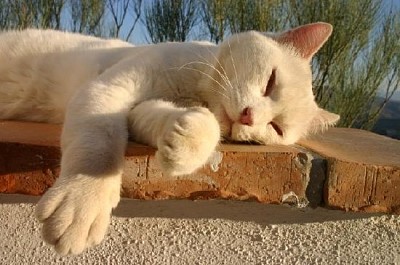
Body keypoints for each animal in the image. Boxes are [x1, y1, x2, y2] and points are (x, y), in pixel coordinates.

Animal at [0, 22, 340, 254]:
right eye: (270, 81)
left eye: (276, 128)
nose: (249, 117)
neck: (196, 90)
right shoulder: (109, 89)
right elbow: (99, 142)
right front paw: (82, 202)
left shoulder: (139, 110)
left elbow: (199, 126)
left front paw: (182, 147)